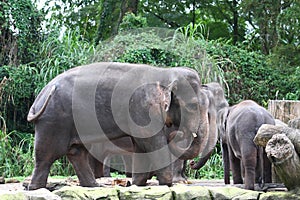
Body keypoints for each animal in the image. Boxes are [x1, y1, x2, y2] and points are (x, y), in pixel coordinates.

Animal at [27, 61, 211, 190]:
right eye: (193, 106)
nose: (176, 132)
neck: (164, 72)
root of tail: (43, 93)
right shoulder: (143, 107)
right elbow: (152, 142)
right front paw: (167, 184)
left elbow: (140, 145)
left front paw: (137, 184)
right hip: (54, 120)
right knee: (47, 154)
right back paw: (35, 188)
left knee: (76, 152)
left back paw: (94, 186)